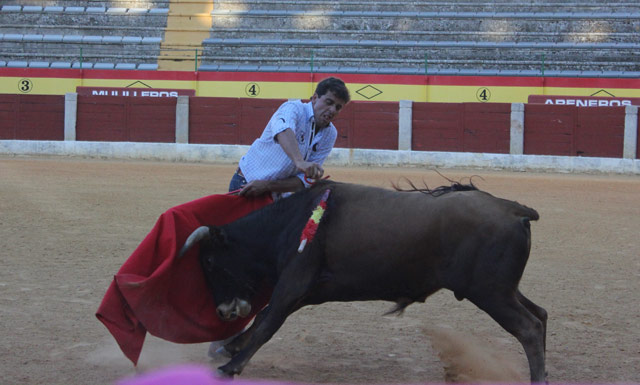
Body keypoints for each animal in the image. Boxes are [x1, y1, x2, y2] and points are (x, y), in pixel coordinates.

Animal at [178, 180, 548, 380]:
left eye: (209, 261)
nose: (223, 311)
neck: (290, 221)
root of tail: (514, 209)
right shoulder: (308, 290)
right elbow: (265, 318)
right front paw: (230, 348)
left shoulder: (294, 282)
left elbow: (268, 322)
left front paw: (231, 365)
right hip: (504, 289)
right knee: (541, 316)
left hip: (490, 293)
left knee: (528, 327)